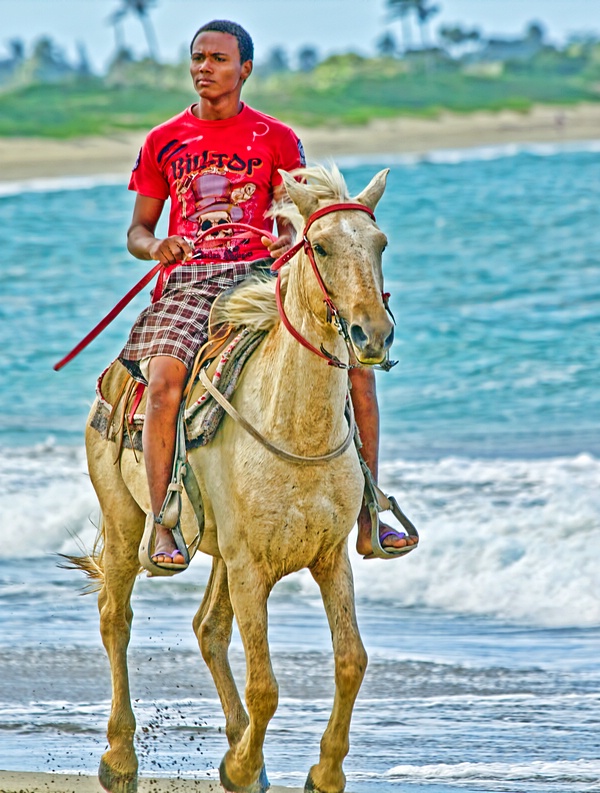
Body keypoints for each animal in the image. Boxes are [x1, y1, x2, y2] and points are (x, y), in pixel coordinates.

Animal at [81, 164, 398, 788]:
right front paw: (242, 765)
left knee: (207, 628)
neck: (294, 429)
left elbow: (351, 661)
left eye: (379, 244)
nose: (372, 336)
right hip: (126, 521)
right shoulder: (251, 565)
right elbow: (266, 687)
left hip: (219, 551)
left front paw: (322, 772)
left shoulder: (328, 556)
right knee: (115, 619)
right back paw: (120, 757)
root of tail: (113, 377)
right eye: (321, 246)